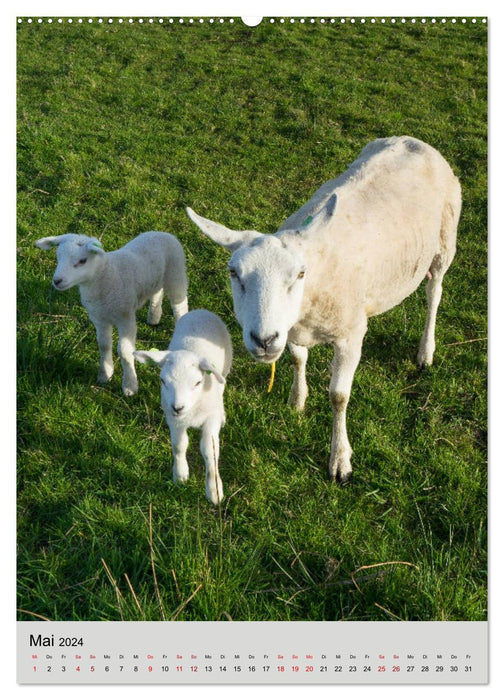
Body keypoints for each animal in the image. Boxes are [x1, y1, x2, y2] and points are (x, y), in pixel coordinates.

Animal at [35, 230, 189, 394]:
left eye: (82, 261)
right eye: (58, 257)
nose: (57, 281)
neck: (106, 276)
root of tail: (161, 232)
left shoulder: (126, 318)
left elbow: (125, 351)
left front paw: (130, 385)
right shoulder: (99, 318)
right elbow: (103, 345)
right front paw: (105, 374)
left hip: (176, 273)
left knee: (180, 305)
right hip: (155, 278)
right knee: (157, 291)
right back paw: (154, 317)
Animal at [134, 308, 232, 506]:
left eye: (198, 382)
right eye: (163, 381)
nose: (177, 407)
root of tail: (200, 310)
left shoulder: (210, 418)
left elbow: (209, 450)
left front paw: (214, 490)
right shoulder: (174, 420)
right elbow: (179, 445)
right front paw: (180, 474)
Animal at [185, 138, 460, 486]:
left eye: (300, 273)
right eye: (233, 272)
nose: (264, 340)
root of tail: (412, 140)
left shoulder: (351, 335)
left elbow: (338, 396)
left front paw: (340, 459)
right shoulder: (291, 329)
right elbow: (296, 359)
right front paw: (296, 399)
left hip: (444, 245)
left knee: (434, 295)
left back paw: (426, 350)